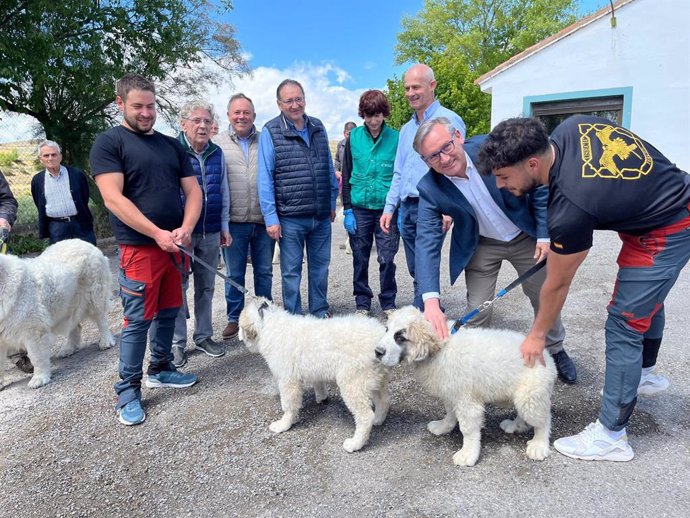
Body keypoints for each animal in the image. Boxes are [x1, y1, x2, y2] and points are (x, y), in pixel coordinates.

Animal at [0, 240, 114, 390]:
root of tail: (84, 242)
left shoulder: (34, 331)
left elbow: (37, 357)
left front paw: (40, 378)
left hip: (95, 296)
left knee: (102, 320)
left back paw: (106, 341)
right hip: (69, 304)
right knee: (75, 327)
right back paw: (68, 348)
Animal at [238, 298, 390, 452]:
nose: (240, 340)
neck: (269, 322)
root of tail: (378, 337)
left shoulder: (287, 380)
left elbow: (288, 405)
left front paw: (283, 424)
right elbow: (318, 383)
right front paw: (321, 396)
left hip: (353, 383)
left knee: (365, 416)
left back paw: (355, 443)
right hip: (374, 379)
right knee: (384, 400)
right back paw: (378, 420)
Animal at [374, 306, 556, 470]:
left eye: (400, 337)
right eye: (387, 329)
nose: (377, 351)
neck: (440, 348)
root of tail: (548, 358)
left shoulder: (467, 401)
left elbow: (468, 429)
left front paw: (468, 453)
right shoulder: (451, 393)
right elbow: (450, 413)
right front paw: (444, 427)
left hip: (530, 395)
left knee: (544, 420)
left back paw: (539, 445)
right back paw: (516, 425)